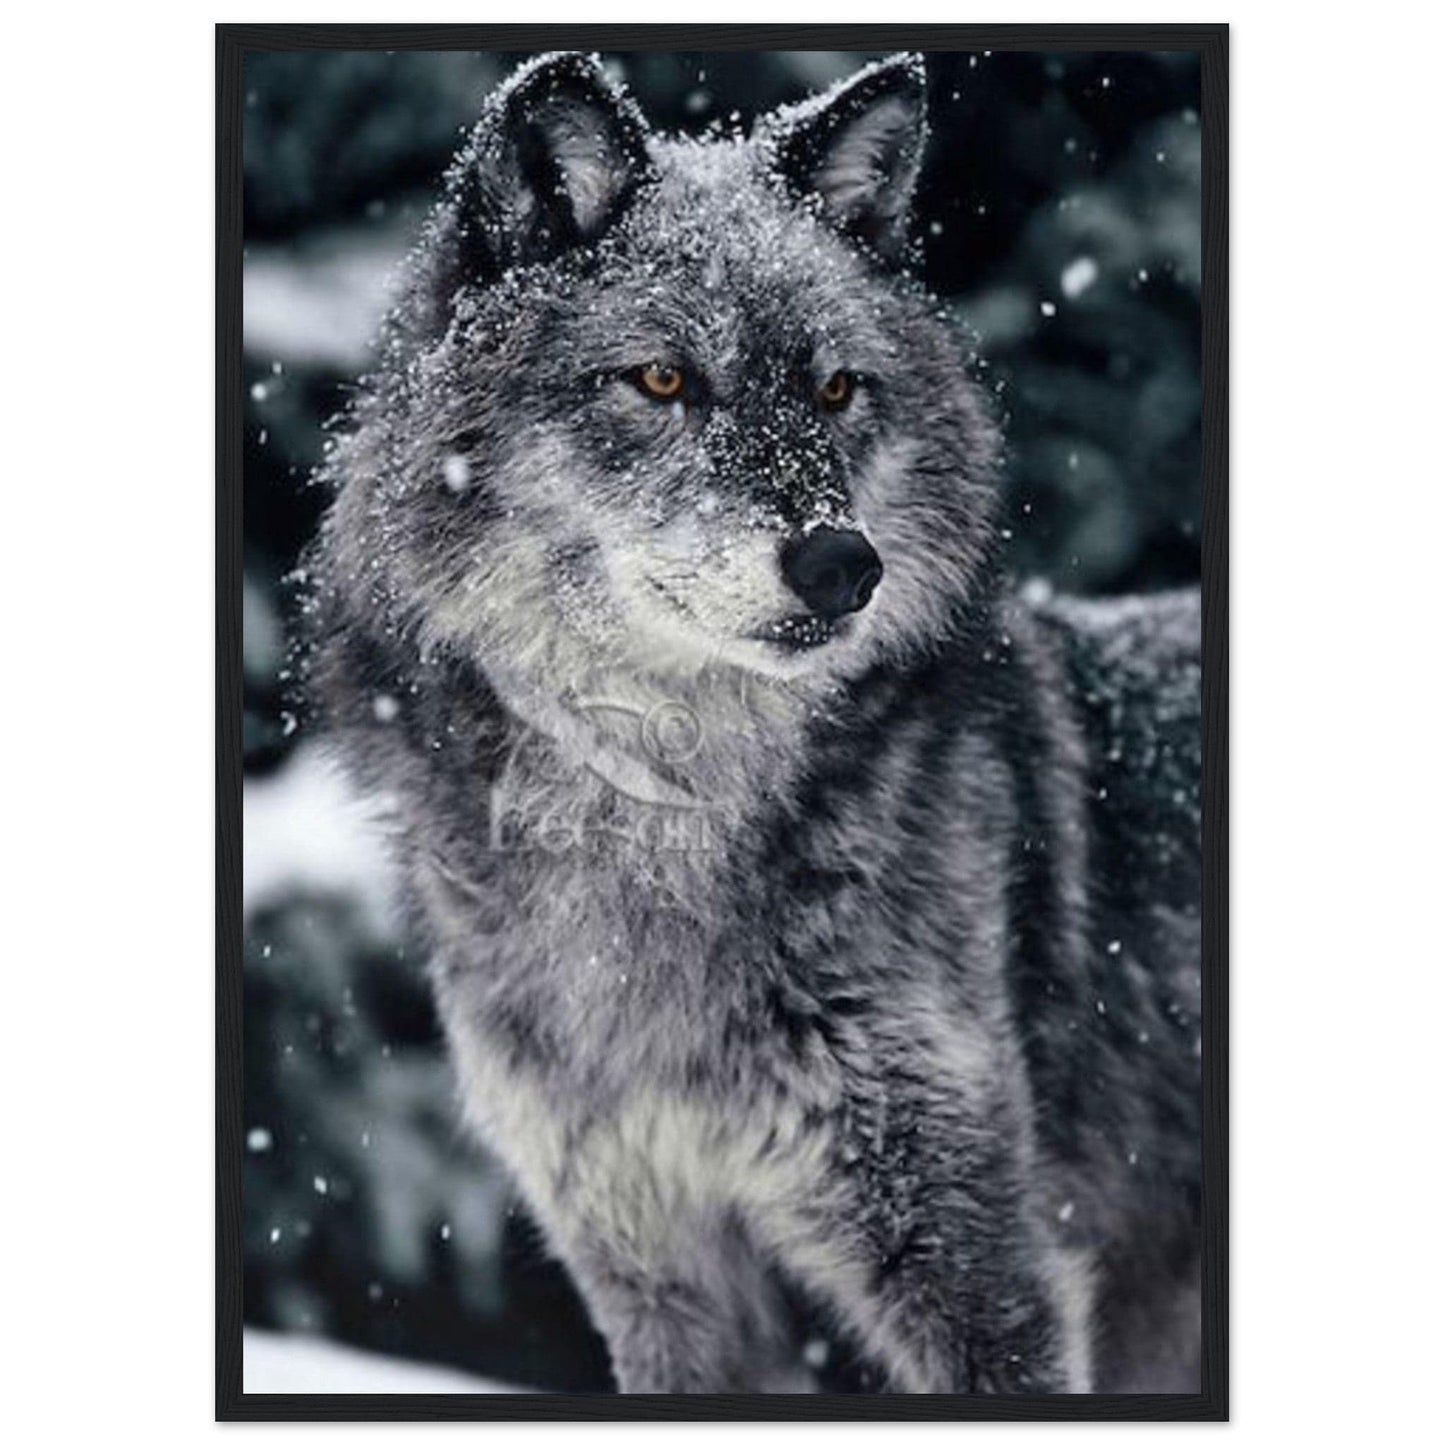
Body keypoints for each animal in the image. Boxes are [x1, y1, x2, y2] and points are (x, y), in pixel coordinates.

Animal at [306, 51, 1202, 1394]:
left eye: (835, 388)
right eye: (664, 379)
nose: (843, 566)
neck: (656, 815)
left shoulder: (987, 1273)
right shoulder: (659, 1280)